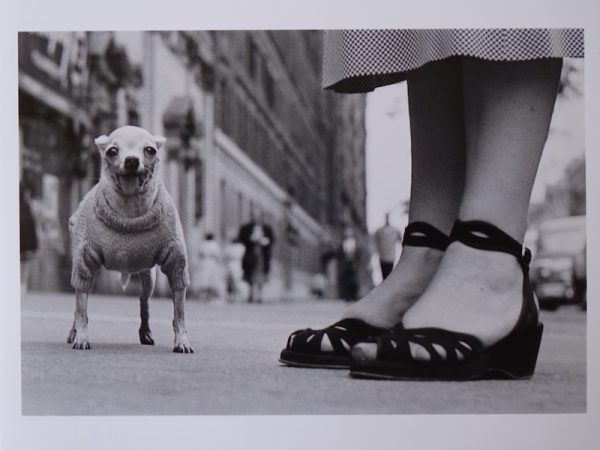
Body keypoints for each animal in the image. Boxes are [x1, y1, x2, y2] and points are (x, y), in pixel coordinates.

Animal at [68, 125, 195, 354]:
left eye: (150, 150)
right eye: (112, 151)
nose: (132, 160)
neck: (129, 210)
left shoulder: (176, 264)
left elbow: (179, 313)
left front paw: (182, 340)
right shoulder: (84, 264)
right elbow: (82, 309)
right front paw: (81, 336)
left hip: (148, 277)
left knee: (144, 303)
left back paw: (146, 332)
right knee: (77, 303)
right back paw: (73, 332)